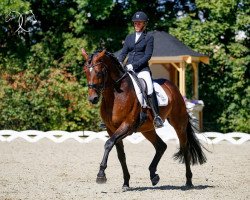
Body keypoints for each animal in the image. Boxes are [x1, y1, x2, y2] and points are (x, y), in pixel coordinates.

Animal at [81, 47, 206, 188]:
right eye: (86, 71)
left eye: (98, 72)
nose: (93, 98)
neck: (116, 96)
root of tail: (173, 86)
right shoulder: (111, 129)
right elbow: (120, 154)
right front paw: (126, 182)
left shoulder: (127, 125)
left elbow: (108, 144)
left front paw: (101, 175)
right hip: (148, 129)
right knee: (161, 146)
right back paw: (153, 175)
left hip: (179, 123)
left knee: (184, 148)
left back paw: (188, 181)